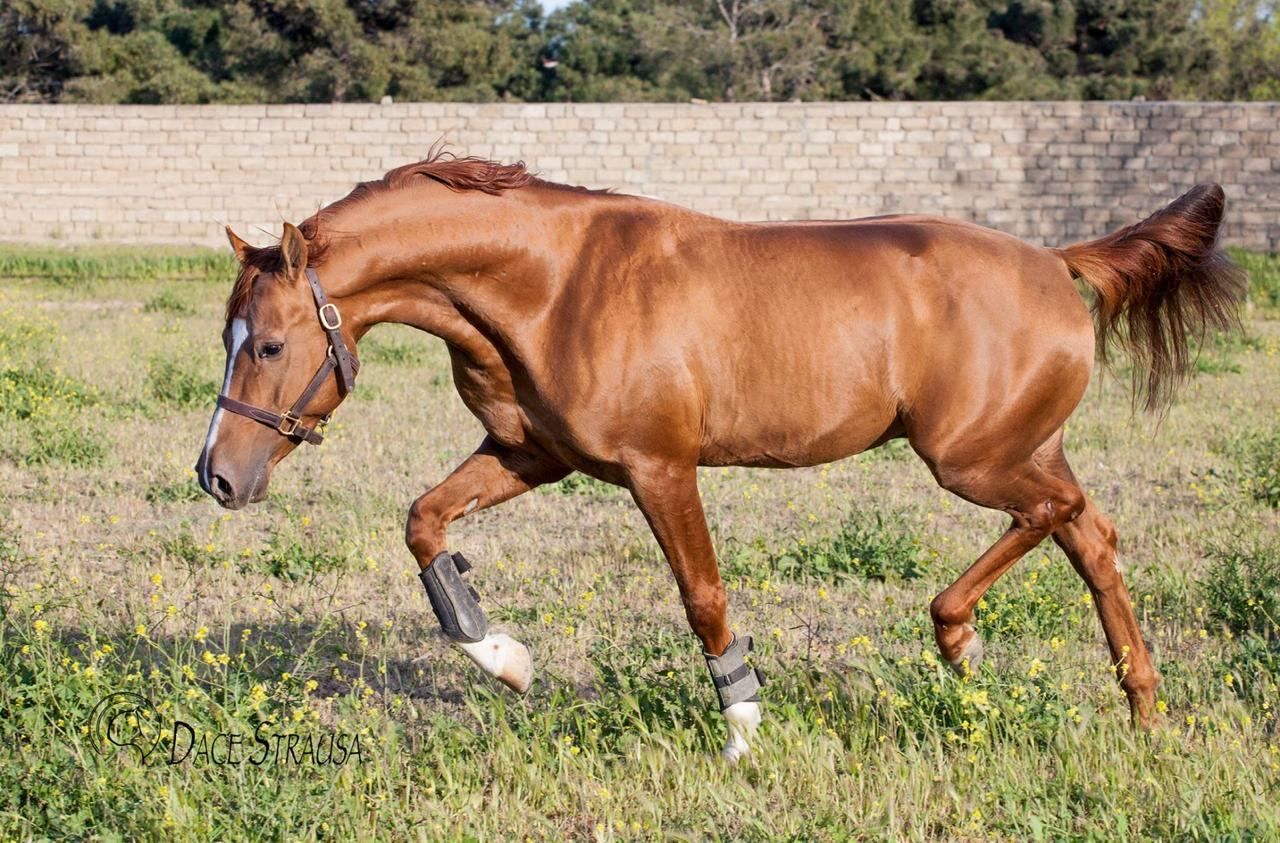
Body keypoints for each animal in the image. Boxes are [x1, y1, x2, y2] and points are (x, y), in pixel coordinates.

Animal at [194, 153, 1244, 767]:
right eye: (227, 334)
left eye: (271, 343)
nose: (217, 476)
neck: (555, 283)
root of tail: (1057, 263)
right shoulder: (530, 453)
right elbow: (424, 521)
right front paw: (508, 661)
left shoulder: (661, 468)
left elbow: (702, 594)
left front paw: (743, 728)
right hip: (1017, 448)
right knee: (1092, 534)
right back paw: (1141, 707)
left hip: (972, 458)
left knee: (1059, 517)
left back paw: (960, 638)